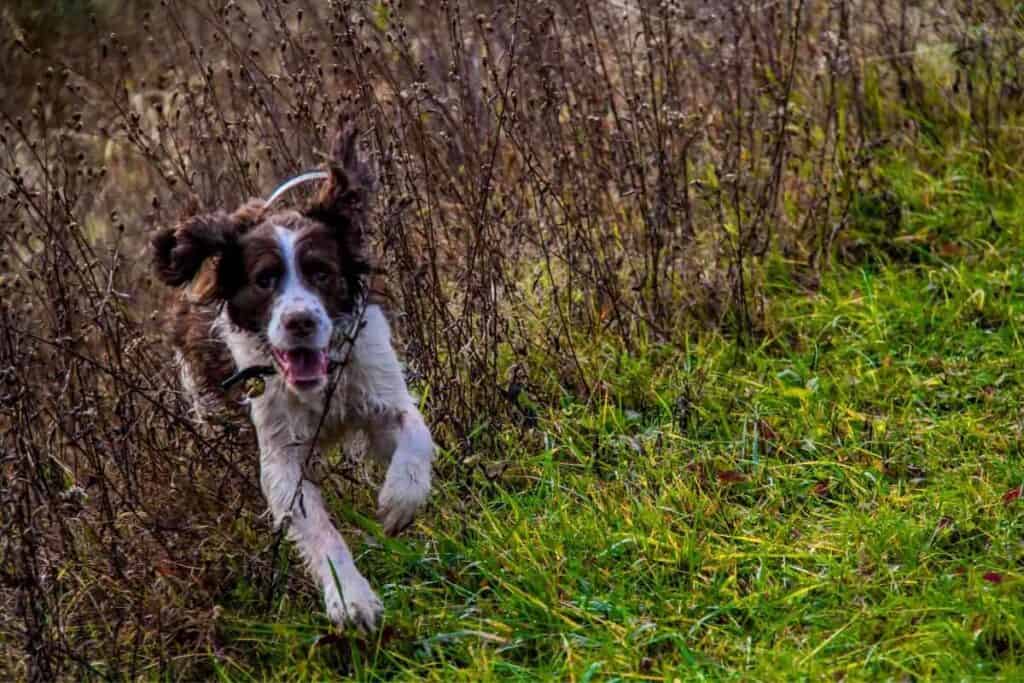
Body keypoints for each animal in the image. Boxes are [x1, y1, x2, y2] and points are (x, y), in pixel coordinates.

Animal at [150, 125, 432, 634]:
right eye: (265, 280)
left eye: (321, 272)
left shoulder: (379, 388)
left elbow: (415, 436)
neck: (319, 386)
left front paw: (399, 502)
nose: (299, 321)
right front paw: (352, 600)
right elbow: (318, 528)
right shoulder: (280, 455)